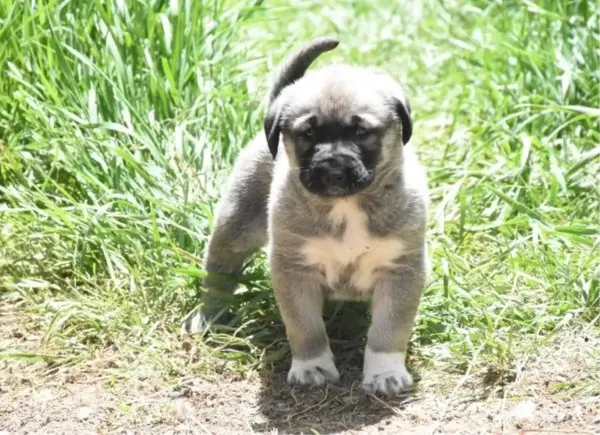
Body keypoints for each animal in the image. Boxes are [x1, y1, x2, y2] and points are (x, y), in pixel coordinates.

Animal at [185, 38, 428, 398]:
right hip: (234, 227)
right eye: (308, 134)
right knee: (218, 272)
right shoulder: (294, 271)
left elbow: (389, 328)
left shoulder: (401, 271)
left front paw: (385, 372)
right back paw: (210, 315)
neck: (346, 206)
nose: (333, 170)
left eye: (361, 132)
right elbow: (305, 326)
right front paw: (312, 366)